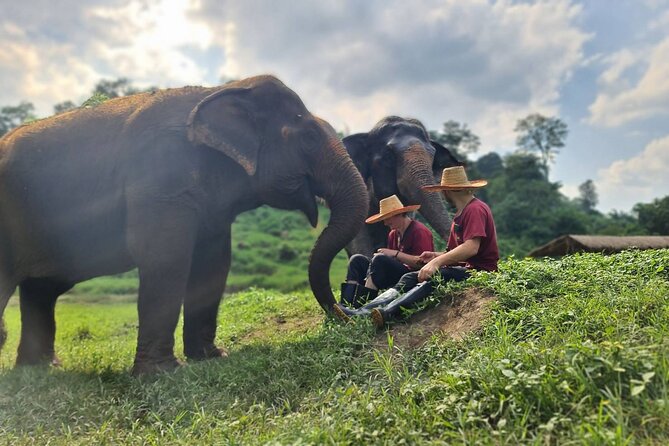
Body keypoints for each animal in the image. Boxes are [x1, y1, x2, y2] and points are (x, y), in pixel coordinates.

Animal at [0, 75, 368, 374]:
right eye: (308, 138)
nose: (345, 314)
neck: (218, 91)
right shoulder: (159, 176)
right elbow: (166, 256)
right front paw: (161, 373)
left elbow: (214, 262)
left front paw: (212, 357)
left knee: (41, 291)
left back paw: (40, 369)